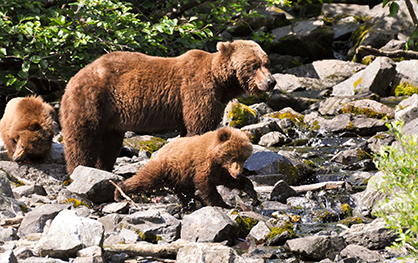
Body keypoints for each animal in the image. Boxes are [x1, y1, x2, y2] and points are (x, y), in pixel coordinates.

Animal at [59, 39, 274, 175]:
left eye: (266, 62)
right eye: (254, 65)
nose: (271, 82)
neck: (222, 83)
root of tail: (75, 76)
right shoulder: (197, 91)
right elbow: (200, 126)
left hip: (111, 116)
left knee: (109, 143)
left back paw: (103, 169)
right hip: (92, 100)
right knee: (82, 137)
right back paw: (79, 168)